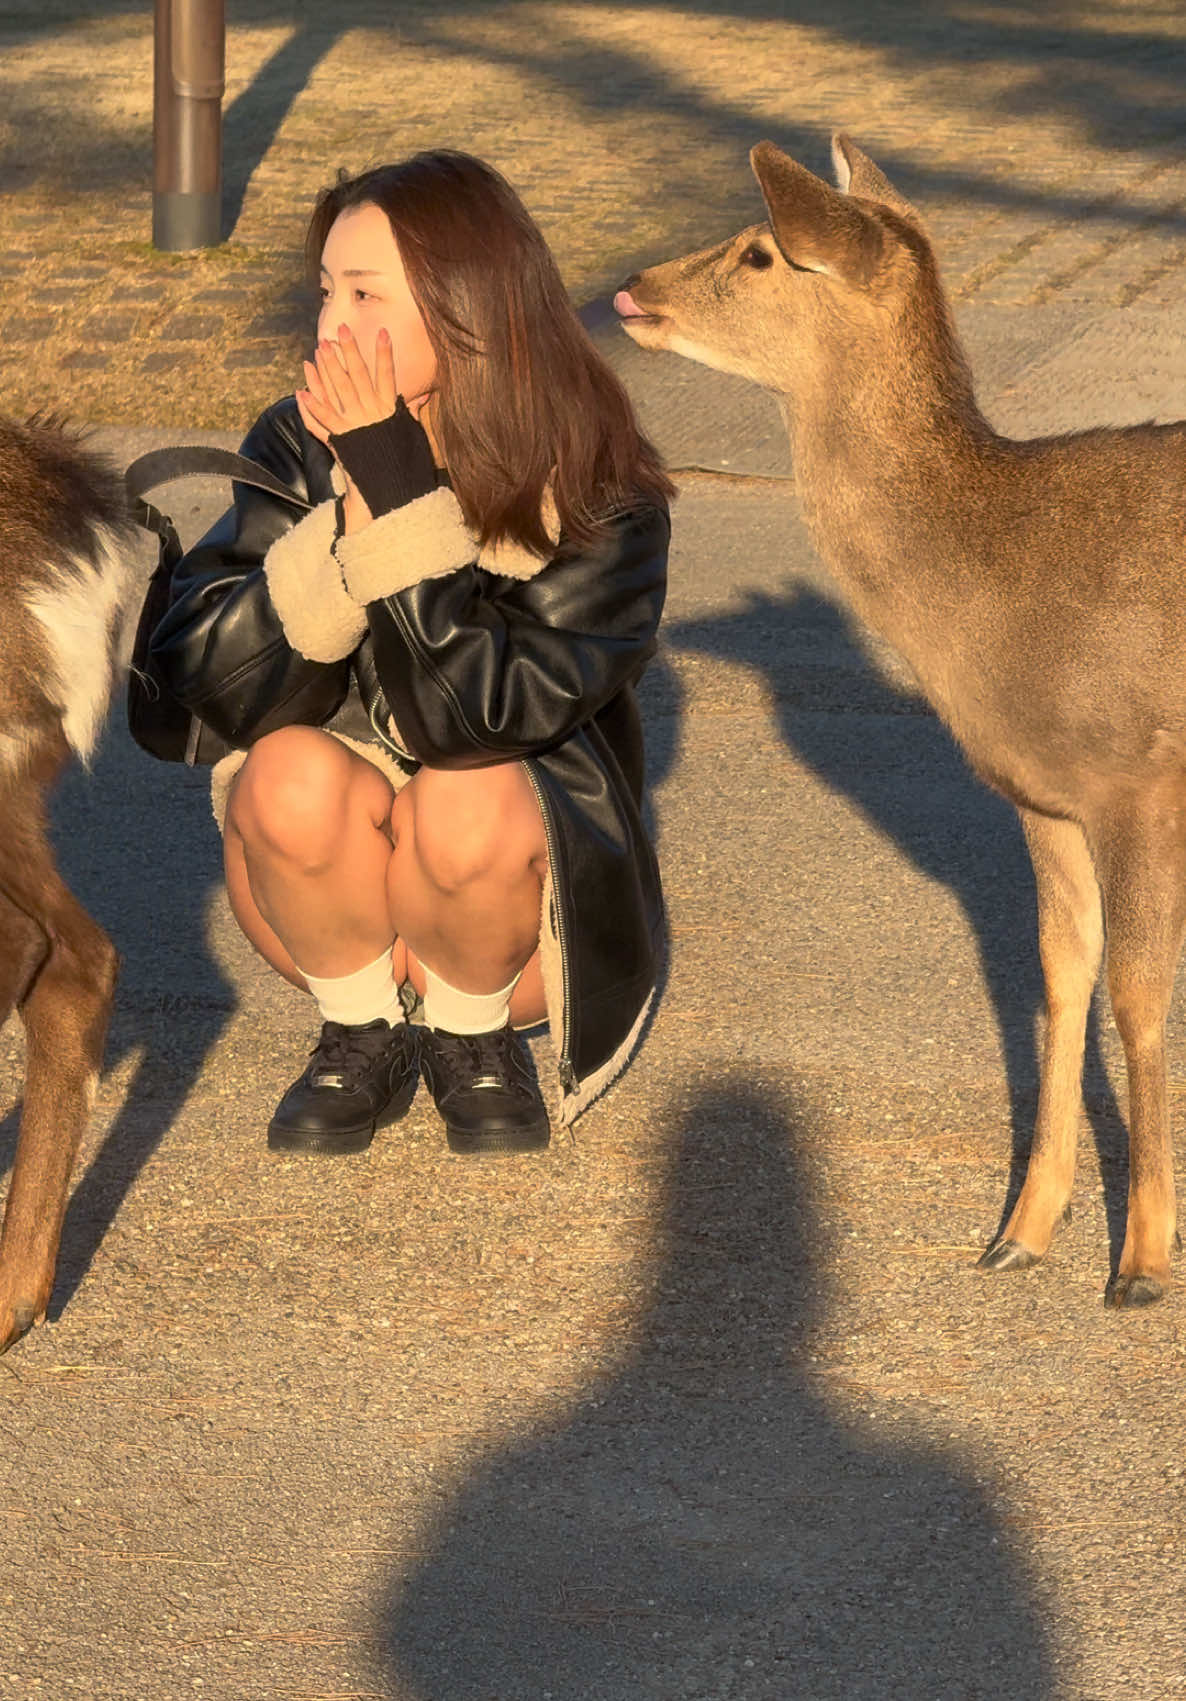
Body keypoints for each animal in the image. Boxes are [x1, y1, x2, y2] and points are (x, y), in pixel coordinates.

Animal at [615, 132, 1184, 1306]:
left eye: (761, 251)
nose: (632, 286)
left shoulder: (1139, 772)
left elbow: (1139, 996)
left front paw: (1143, 1263)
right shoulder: (1043, 795)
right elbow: (1061, 978)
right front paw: (1020, 1231)